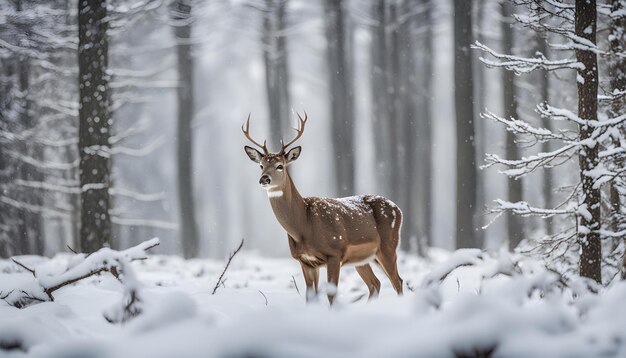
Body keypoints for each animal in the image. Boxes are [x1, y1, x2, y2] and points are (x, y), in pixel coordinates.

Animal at [241, 113, 402, 304]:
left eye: (280, 166)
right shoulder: (305, 261)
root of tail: (398, 208)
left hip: (388, 245)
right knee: (375, 283)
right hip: (363, 258)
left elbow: (331, 295)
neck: (304, 226)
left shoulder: (334, 253)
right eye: (261, 165)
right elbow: (310, 296)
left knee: (397, 281)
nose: (264, 179)